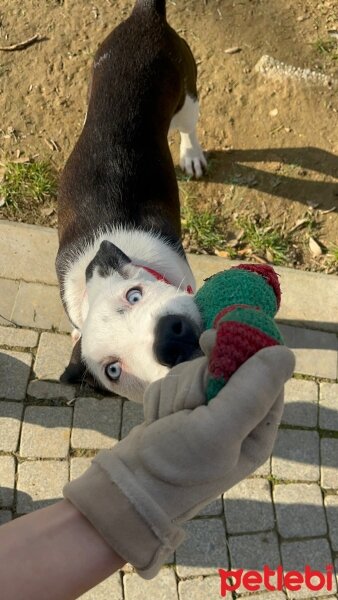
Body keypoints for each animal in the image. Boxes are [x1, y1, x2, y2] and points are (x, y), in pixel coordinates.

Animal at [56, 0, 206, 406]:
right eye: (114, 370)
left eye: (134, 295)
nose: (170, 339)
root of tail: (145, 15)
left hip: (187, 94)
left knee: (189, 126)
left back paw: (192, 155)